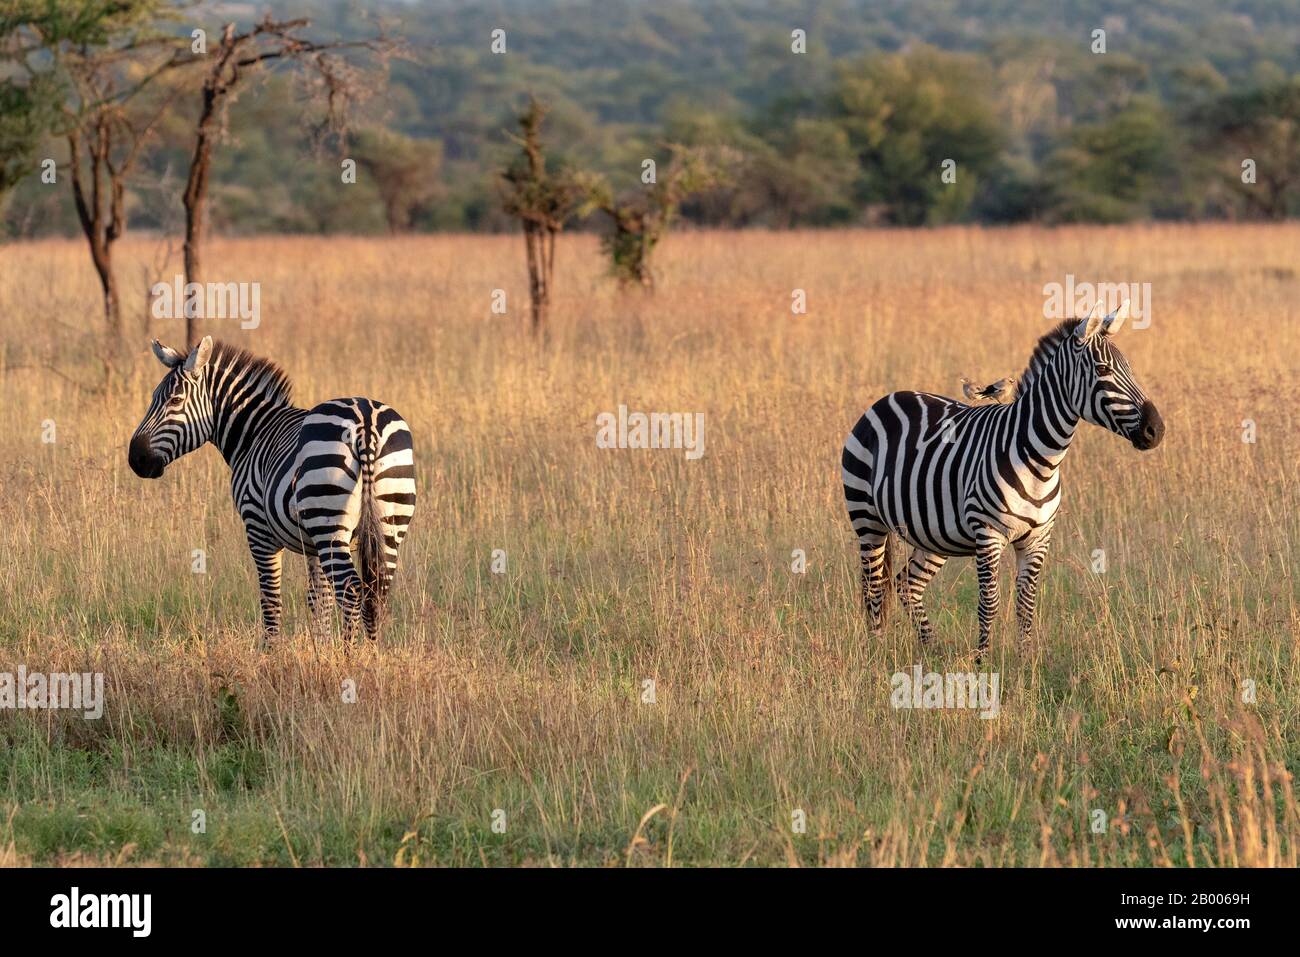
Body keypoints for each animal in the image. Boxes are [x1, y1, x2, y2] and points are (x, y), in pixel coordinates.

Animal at [127, 335, 416, 642]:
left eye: (175, 400)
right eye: (153, 398)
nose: (135, 459)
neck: (254, 433)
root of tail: (366, 422)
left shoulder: (258, 528)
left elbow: (270, 598)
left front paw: (272, 648)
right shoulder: (313, 544)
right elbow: (319, 599)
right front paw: (323, 646)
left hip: (330, 524)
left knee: (350, 590)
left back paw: (352, 652)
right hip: (388, 523)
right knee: (377, 591)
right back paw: (372, 650)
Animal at [842, 304, 1170, 657]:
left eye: (1129, 368)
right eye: (1103, 369)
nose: (1156, 430)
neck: (1041, 460)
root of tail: (888, 398)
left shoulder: (1038, 538)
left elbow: (1026, 603)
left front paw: (1026, 660)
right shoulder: (988, 534)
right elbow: (989, 602)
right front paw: (983, 660)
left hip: (932, 533)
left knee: (906, 583)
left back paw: (932, 650)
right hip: (867, 518)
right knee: (874, 587)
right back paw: (876, 651)